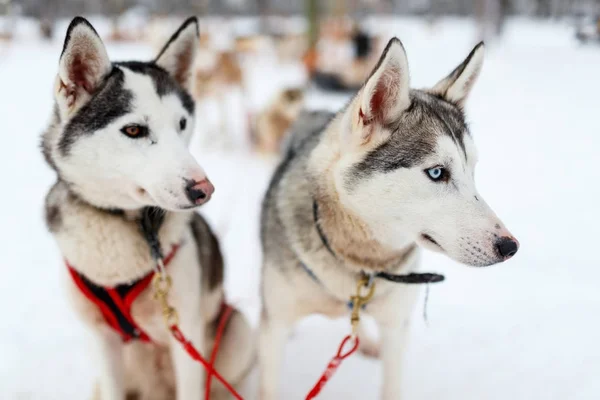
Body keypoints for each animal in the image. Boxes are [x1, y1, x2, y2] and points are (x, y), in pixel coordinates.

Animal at [42, 16, 253, 400]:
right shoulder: (103, 342)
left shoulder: (186, 336)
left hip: (234, 330)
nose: (204, 189)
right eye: (134, 130)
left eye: (182, 124)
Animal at [258, 36, 520, 396]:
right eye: (437, 172)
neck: (360, 261)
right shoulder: (274, 330)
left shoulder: (396, 328)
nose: (510, 247)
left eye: (473, 170)